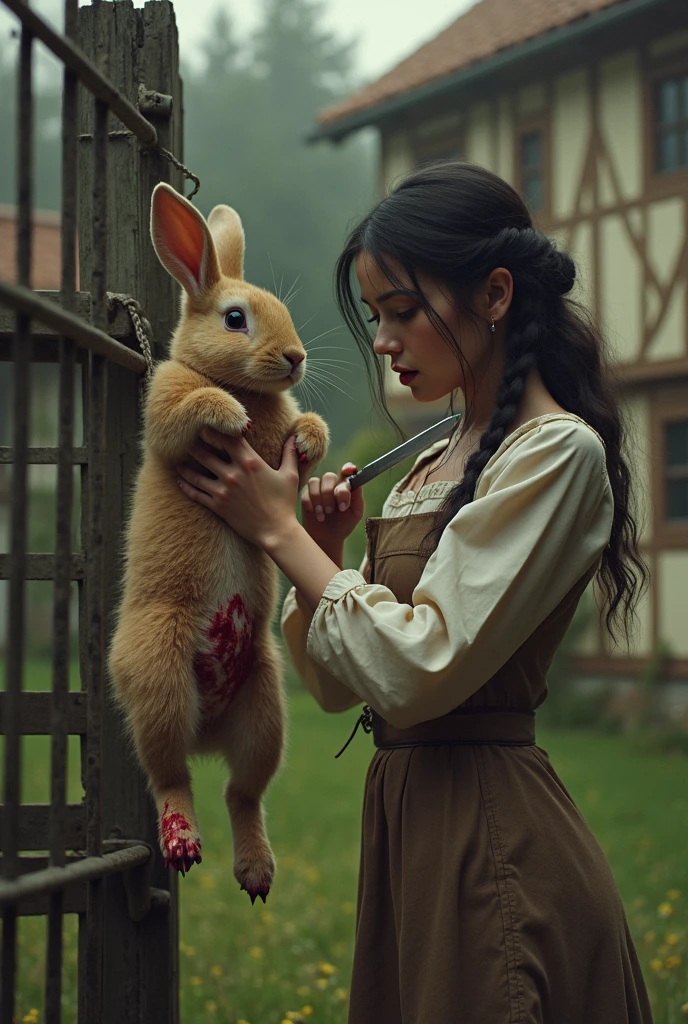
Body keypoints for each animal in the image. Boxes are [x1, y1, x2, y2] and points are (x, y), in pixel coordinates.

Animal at [108, 180, 329, 901]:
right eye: (236, 319)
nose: (295, 359)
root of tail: (207, 730)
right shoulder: (167, 414)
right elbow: (187, 411)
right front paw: (227, 414)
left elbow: (303, 446)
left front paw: (310, 435)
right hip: (161, 673)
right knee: (171, 776)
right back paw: (182, 841)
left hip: (265, 704)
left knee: (242, 793)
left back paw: (255, 873)